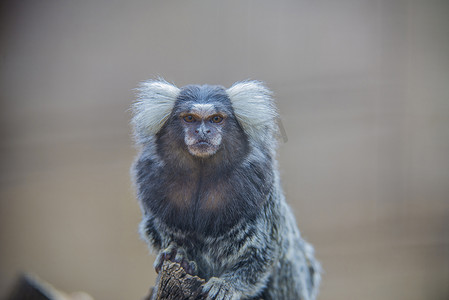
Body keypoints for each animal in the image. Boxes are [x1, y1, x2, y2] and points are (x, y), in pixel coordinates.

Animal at [129, 79, 318, 300]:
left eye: (216, 119)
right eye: (190, 118)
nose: (203, 132)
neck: (202, 173)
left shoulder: (261, 185)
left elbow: (266, 250)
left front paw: (226, 285)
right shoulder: (150, 179)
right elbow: (156, 232)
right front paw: (178, 254)